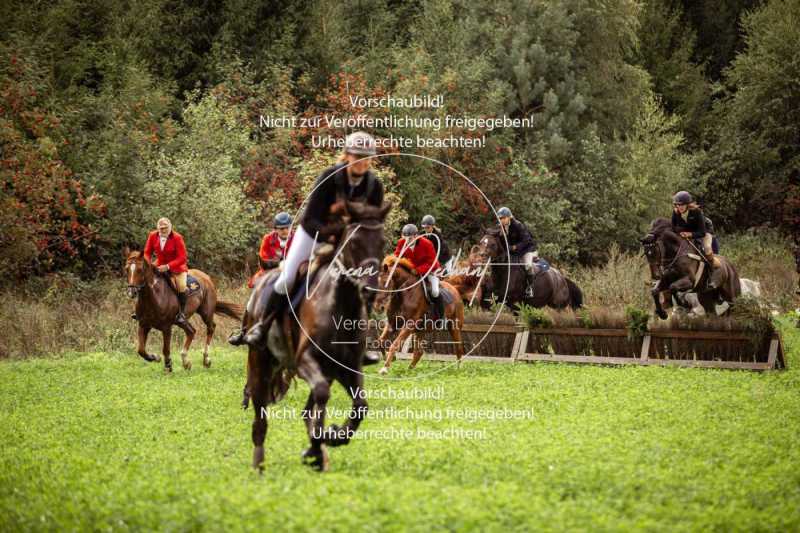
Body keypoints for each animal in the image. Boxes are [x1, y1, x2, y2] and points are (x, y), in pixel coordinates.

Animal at [245, 200, 392, 470]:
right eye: (353, 242)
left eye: (382, 241)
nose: (370, 289)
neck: (341, 306)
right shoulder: (305, 360)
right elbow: (323, 396)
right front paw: (318, 442)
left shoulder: (347, 367)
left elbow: (360, 406)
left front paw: (332, 437)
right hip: (260, 362)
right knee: (260, 415)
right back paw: (259, 465)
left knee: (309, 409)